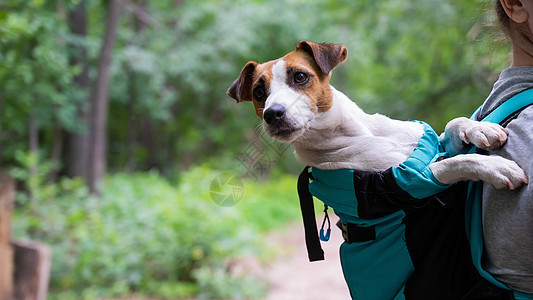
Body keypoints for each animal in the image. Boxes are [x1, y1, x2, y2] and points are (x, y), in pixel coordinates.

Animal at [225, 40, 528, 190]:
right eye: (259, 92)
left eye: (300, 76)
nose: (273, 114)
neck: (361, 132)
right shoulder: (410, 176)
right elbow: (456, 162)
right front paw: (495, 167)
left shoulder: (432, 144)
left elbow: (452, 126)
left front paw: (480, 129)